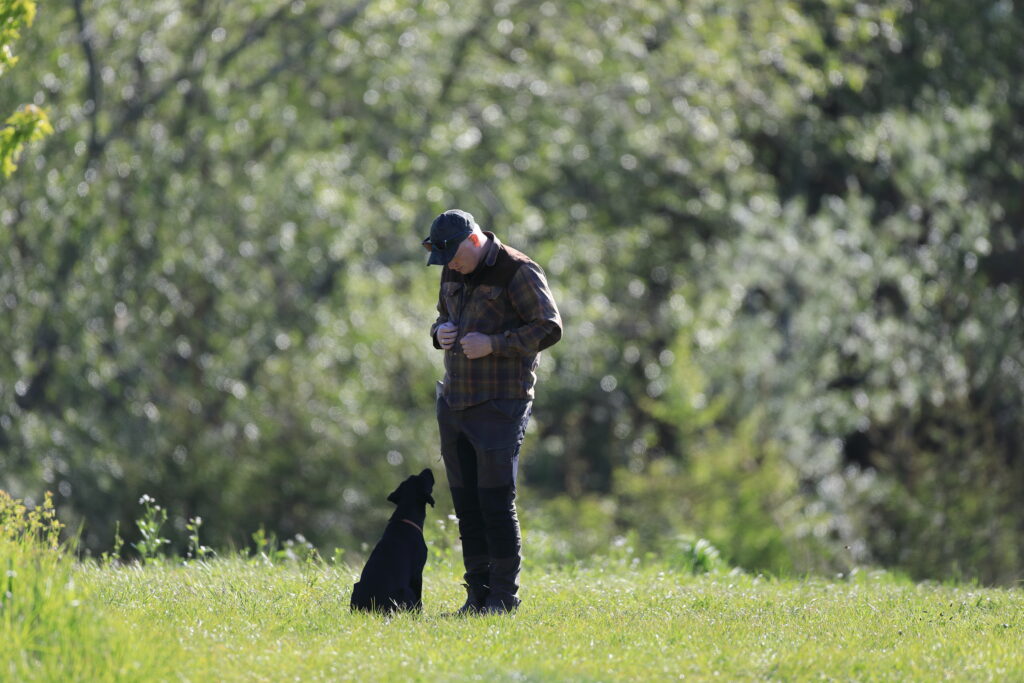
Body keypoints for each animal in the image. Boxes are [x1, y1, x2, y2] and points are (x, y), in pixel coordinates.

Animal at [350, 471, 434, 614]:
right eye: (421, 478)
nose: (428, 469)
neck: (405, 517)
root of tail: (373, 608)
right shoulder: (417, 573)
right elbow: (419, 600)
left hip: (356, 587)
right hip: (407, 591)